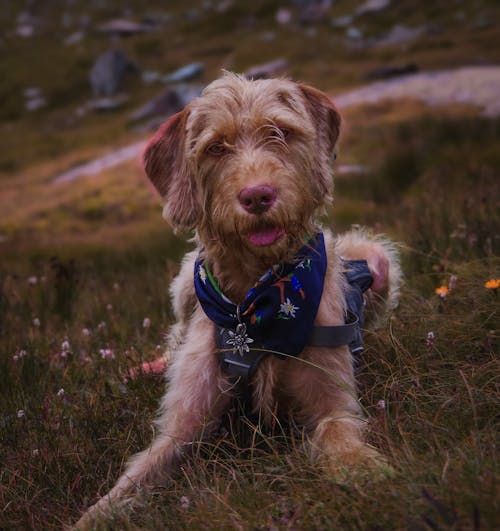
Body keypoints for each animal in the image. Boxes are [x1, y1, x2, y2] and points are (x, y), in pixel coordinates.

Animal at [75, 74, 402, 528]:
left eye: (280, 132)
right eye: (216, 147)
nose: (258, 196)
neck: (255, 305)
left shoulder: (332, 403)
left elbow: (340, 433)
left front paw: (365, 471)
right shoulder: (182, 426)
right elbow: (137, 475)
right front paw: (93, 515)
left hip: (375, 260)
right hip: (184, 286)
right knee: (172, 340)